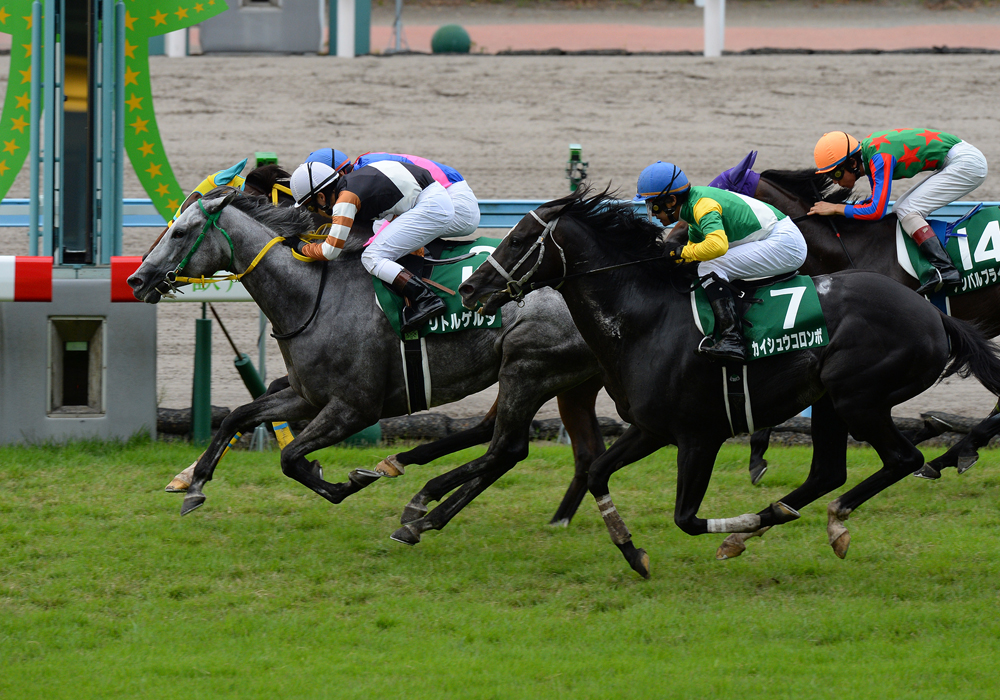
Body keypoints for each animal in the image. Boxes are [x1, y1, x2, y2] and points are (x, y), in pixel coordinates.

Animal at [129, 186, 604, 532]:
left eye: (179, 232)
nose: (137, 279)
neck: (312, 297)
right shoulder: (306, 396)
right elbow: (236, 417)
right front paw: (193, 484)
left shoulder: (353, 409)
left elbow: (290, 458)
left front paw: (344, 483)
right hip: (545, 377)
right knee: (498, 438)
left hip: (530, 367)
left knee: (508, 447)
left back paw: (421, 511)